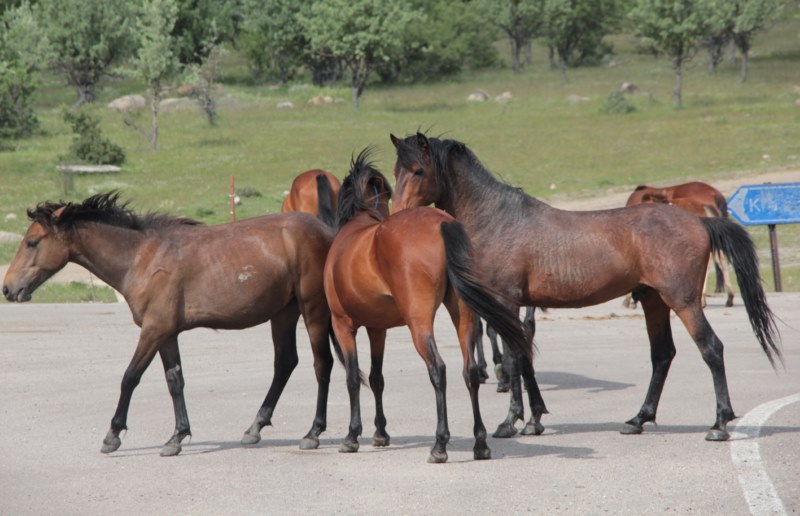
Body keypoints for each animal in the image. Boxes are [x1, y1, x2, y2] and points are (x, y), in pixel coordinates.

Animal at [0, 192, 338, 456]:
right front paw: (177, 436)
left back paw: (313, 433)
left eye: (32, 242)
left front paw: (113, 435)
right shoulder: (167, 334)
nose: (8, 288)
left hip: (313, 310)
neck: (142, 258)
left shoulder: (153, 330)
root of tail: (327, 232)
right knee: (285, 363)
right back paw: (254, 428)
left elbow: (130, 377)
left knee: (322, 364)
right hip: (283, 314)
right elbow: (175, 380)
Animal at [324, 148, 532, 464]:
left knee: (438, 369)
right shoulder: (377, 329)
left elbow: (352, 378)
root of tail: (442, 224)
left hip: (419, 324)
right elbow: (376, 378)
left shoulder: (343, 325)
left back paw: (440, 445)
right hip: (463, 315)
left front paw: (352, 436)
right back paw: (480, 443)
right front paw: (380, 433)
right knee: (470, 371)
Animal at [392, 131, 780, 442]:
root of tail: (699, 222)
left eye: (418, 170)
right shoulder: (515, 307)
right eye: (396, 171)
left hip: (683, 302)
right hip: (654, 302)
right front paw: (534, 419)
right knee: (662, 355)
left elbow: (516, 360)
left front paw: (510, 422)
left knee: (711, 349)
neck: (498, 220)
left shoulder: (506, 302)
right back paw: (638, 419)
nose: (396, 214)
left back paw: (719, 424)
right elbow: (525, 358)